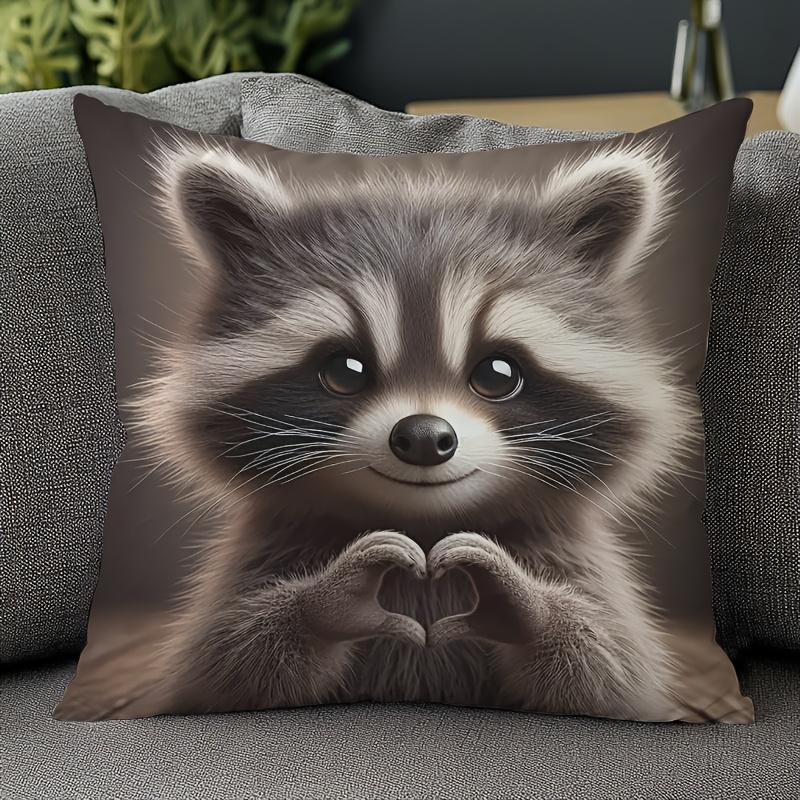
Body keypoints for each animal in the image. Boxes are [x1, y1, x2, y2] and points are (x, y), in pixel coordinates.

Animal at [67, 139, 698, 721]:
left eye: (498, 374)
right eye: (345, 370)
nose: (423, 436)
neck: (423, 524)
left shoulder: (573, 559)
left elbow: (610, 668)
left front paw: (526, 604)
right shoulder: (263, 556)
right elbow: (227, 663)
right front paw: (325, 600)